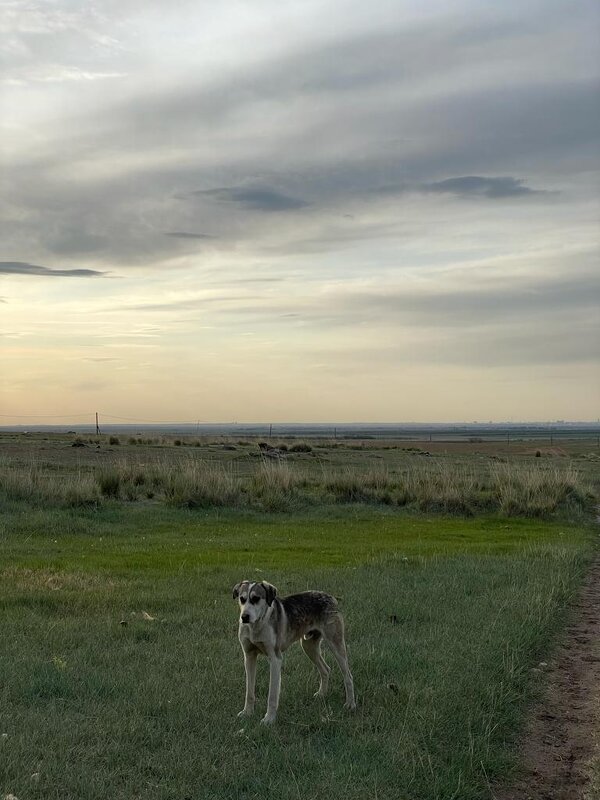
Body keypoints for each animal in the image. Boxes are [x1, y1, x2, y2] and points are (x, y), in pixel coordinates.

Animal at [231, 580, 354, 724]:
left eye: (256, 598)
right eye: (242, 599)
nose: (244, 617)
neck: (256, 626)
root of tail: (330, 597)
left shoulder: (275, 659)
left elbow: (272, 695)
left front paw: (269, 719)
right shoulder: (249, 656)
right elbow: (249, 691)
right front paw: (247, 713)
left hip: (336, 645)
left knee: (348, 676)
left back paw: (350, 704)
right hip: (308, 646)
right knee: (326, 669)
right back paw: (322, 694)